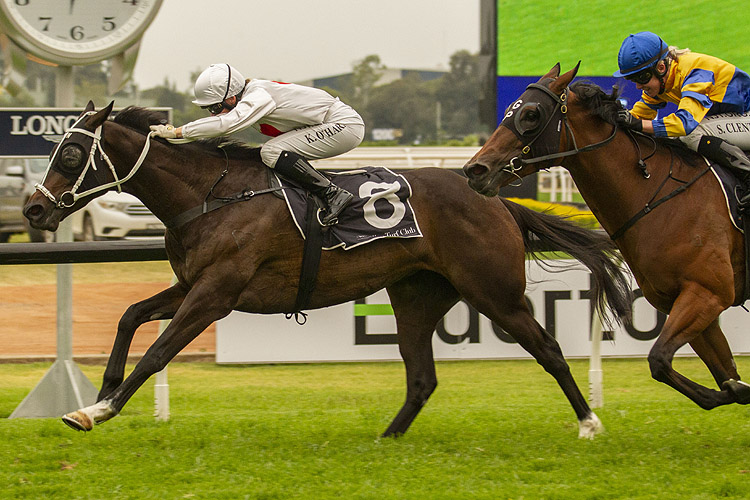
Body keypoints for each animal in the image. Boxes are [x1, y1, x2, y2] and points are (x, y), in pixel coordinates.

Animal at [23, 101, 632, 438]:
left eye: (71, 155)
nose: (32, 209)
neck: (211, 195)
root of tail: (498, 200)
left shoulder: (215, 293)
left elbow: (157, 352)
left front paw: (98, 411)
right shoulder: (192, 284)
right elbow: (130, 316)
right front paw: (98, 393)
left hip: (494, 291)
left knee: (548, 349)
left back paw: (590, 423)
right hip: (417, 296)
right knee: (422, 377)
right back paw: (385, 440)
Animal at [464, 62, 750, 410]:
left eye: (531, 114)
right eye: (509, 110)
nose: (475, 170)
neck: (658, 195)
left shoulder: (708, 292)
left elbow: (660, 359)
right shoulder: (682, 300)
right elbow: (719, 374)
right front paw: (736, 389)